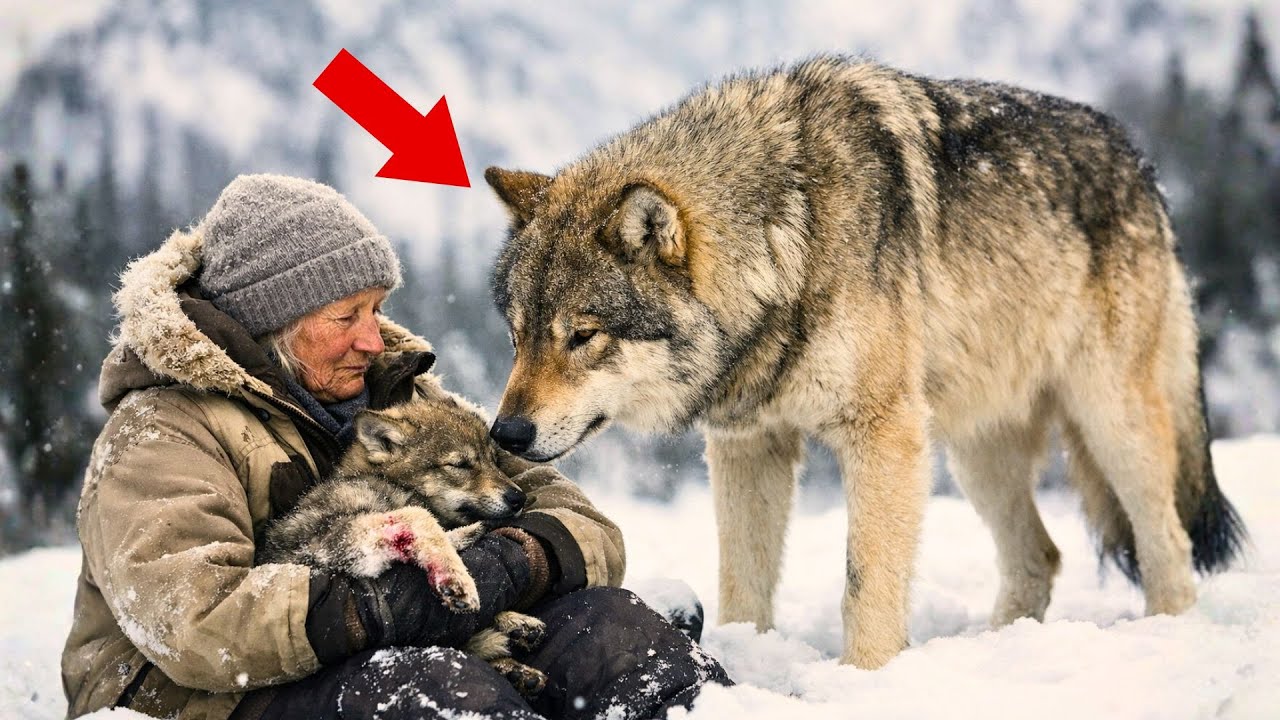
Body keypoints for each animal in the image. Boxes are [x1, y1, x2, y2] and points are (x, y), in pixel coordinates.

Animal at [258, 381, 548, 694]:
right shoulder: (325, 539)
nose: (519, 498)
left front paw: (512, 618)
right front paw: (455, 578)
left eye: (494, 461)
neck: (391, 484)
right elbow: (421, 517)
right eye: (460, 464)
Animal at [482, 55, 1247, 669]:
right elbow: (742, 582)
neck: (790, 230)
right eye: (517, 336)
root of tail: (1141, 163)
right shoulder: (748, 444)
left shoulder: (883, 434)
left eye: (582, 335)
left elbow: (865, 582)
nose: (506, 434)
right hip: (973, 453)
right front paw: (744, 658)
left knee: (1167, 544)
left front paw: (866, 676)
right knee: (1041, 556)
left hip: (1108, 422)